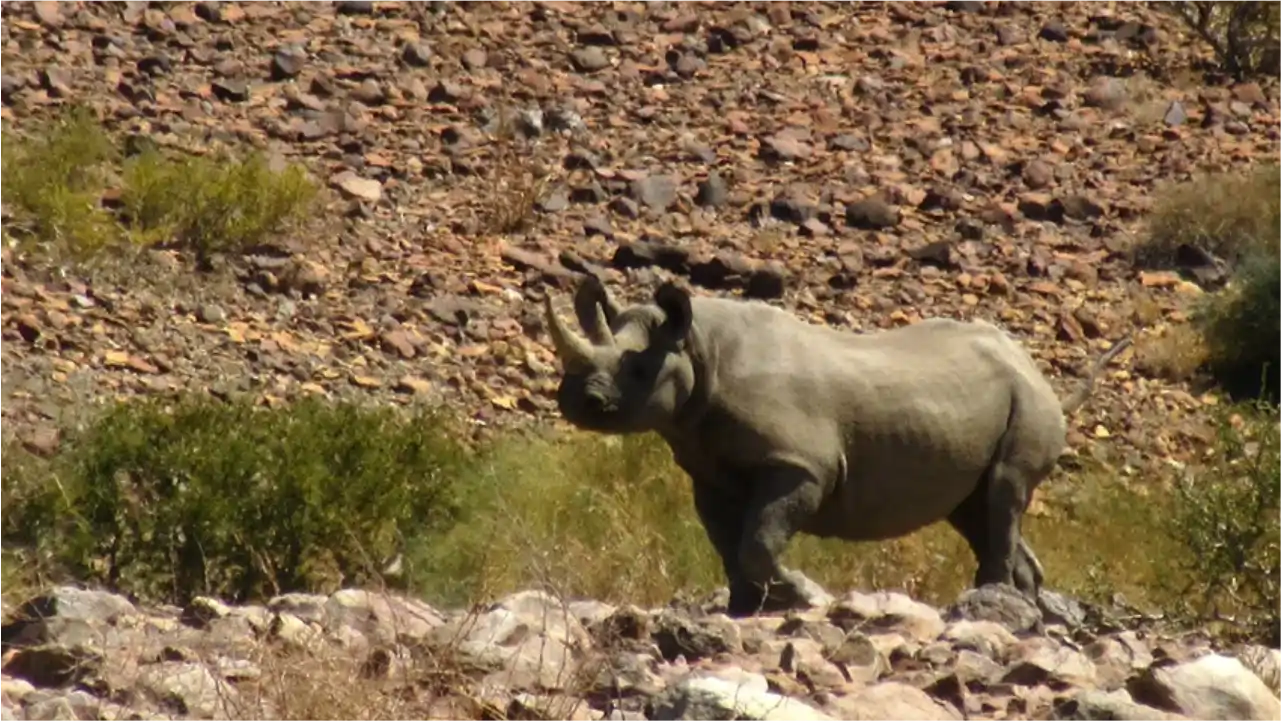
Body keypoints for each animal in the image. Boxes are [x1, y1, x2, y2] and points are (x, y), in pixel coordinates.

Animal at [542, 276, 1132, 617]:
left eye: (639, 372)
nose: (575, 401)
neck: (698, 346)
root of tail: (1034, 368)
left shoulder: (800, 464)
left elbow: (758, 539)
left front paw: (802, 594)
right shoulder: (709, 470)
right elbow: (729, 546)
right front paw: (743, 611)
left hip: (1026, 401)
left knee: (1004, 493)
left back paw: (988, 605)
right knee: (977, 508)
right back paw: (1020, 612)